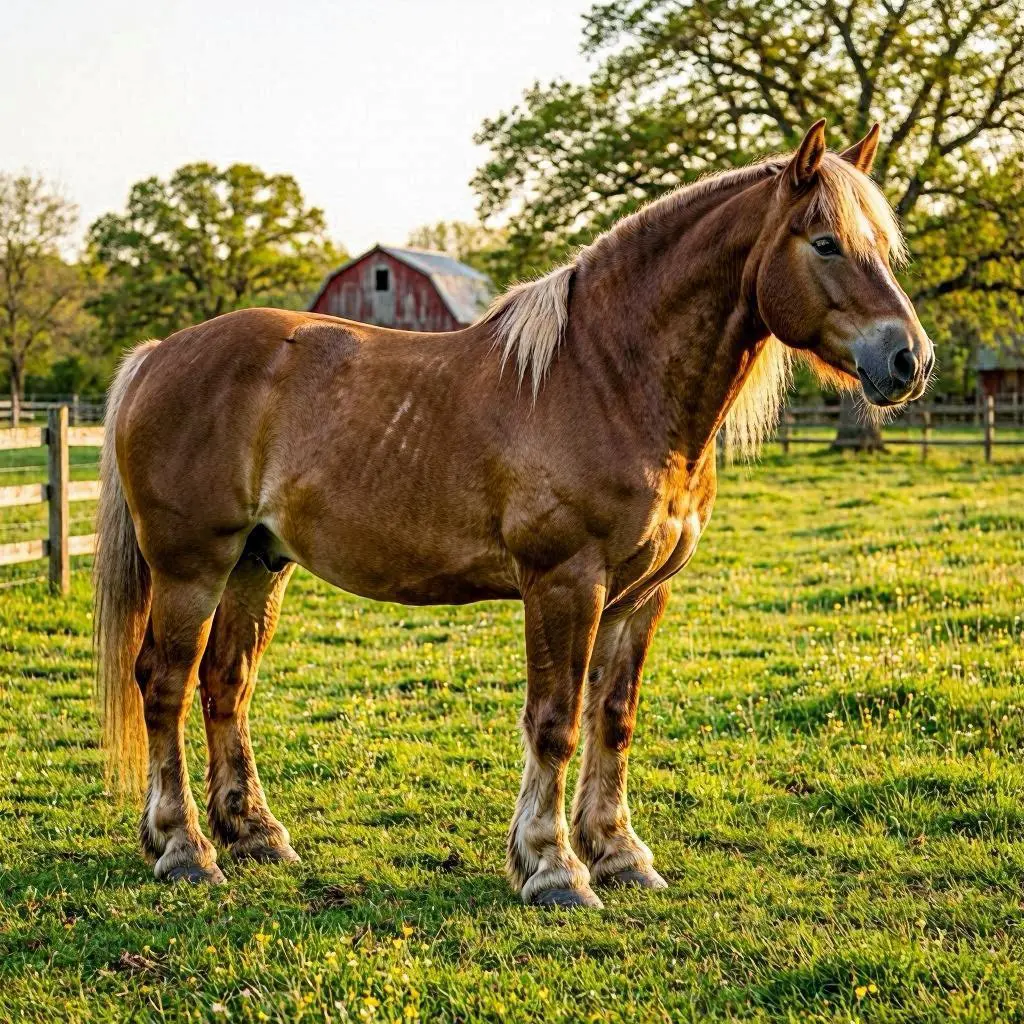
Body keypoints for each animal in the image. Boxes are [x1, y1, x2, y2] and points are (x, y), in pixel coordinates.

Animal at [94, 120, 933, 908]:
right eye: (825, 242)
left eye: (880, 246)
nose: (910, 360)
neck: (608, 382)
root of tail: (156, 354)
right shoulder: (565, 583)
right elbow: (555, 722)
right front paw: (553, 867)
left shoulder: (640, 596)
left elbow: (613, 720)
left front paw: (619, 854)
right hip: (192, 567)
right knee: (164, 685)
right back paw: (184, 849)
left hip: (257, 564)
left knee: (225, 684)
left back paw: (254, 834)